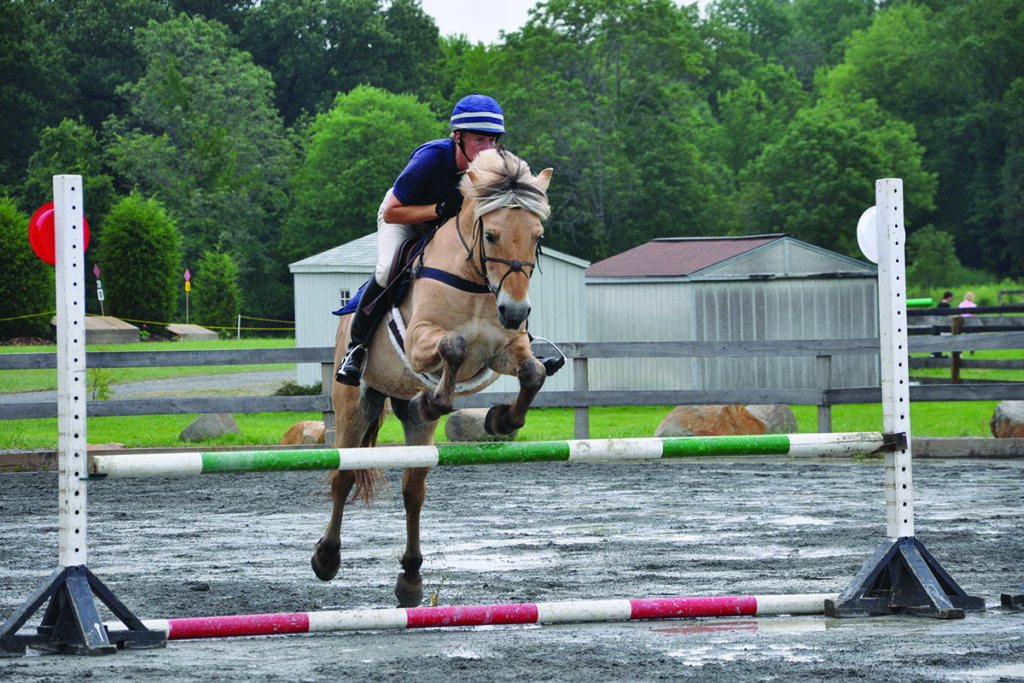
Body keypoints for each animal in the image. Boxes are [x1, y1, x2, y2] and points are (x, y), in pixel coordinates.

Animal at [309, 149, 552, 610]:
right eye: (491, 235)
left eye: (537, 237)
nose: (515, 311)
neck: (476, 281)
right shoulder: (422, 339)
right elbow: (454, 346)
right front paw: (436, 399)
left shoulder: (505, 349)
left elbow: (533, 372)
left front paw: (500, 419)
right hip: (355, 403)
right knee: (344, 476)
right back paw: (326, 559)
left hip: (411, 428)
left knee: (413, 490)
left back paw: (410, 578)